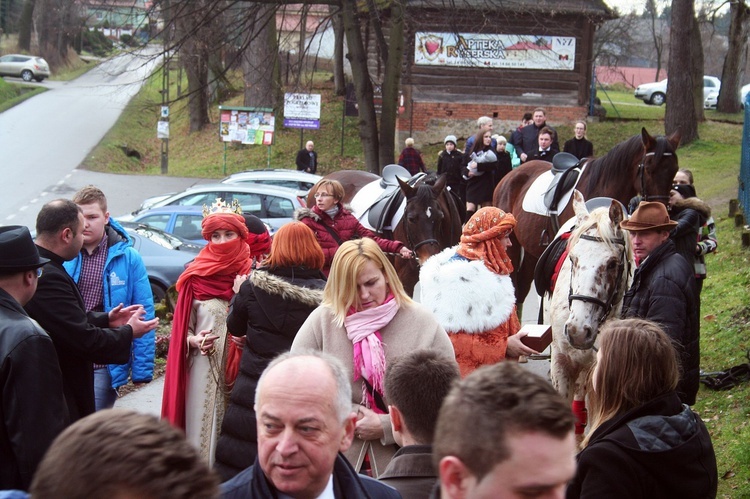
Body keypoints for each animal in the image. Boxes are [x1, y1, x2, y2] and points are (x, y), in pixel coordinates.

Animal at [496, 127, 684, 306]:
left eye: (674, 170)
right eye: (649, 169)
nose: (662, 210)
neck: (602, 185)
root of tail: (509, 176)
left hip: (531, 251)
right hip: (511, 245)